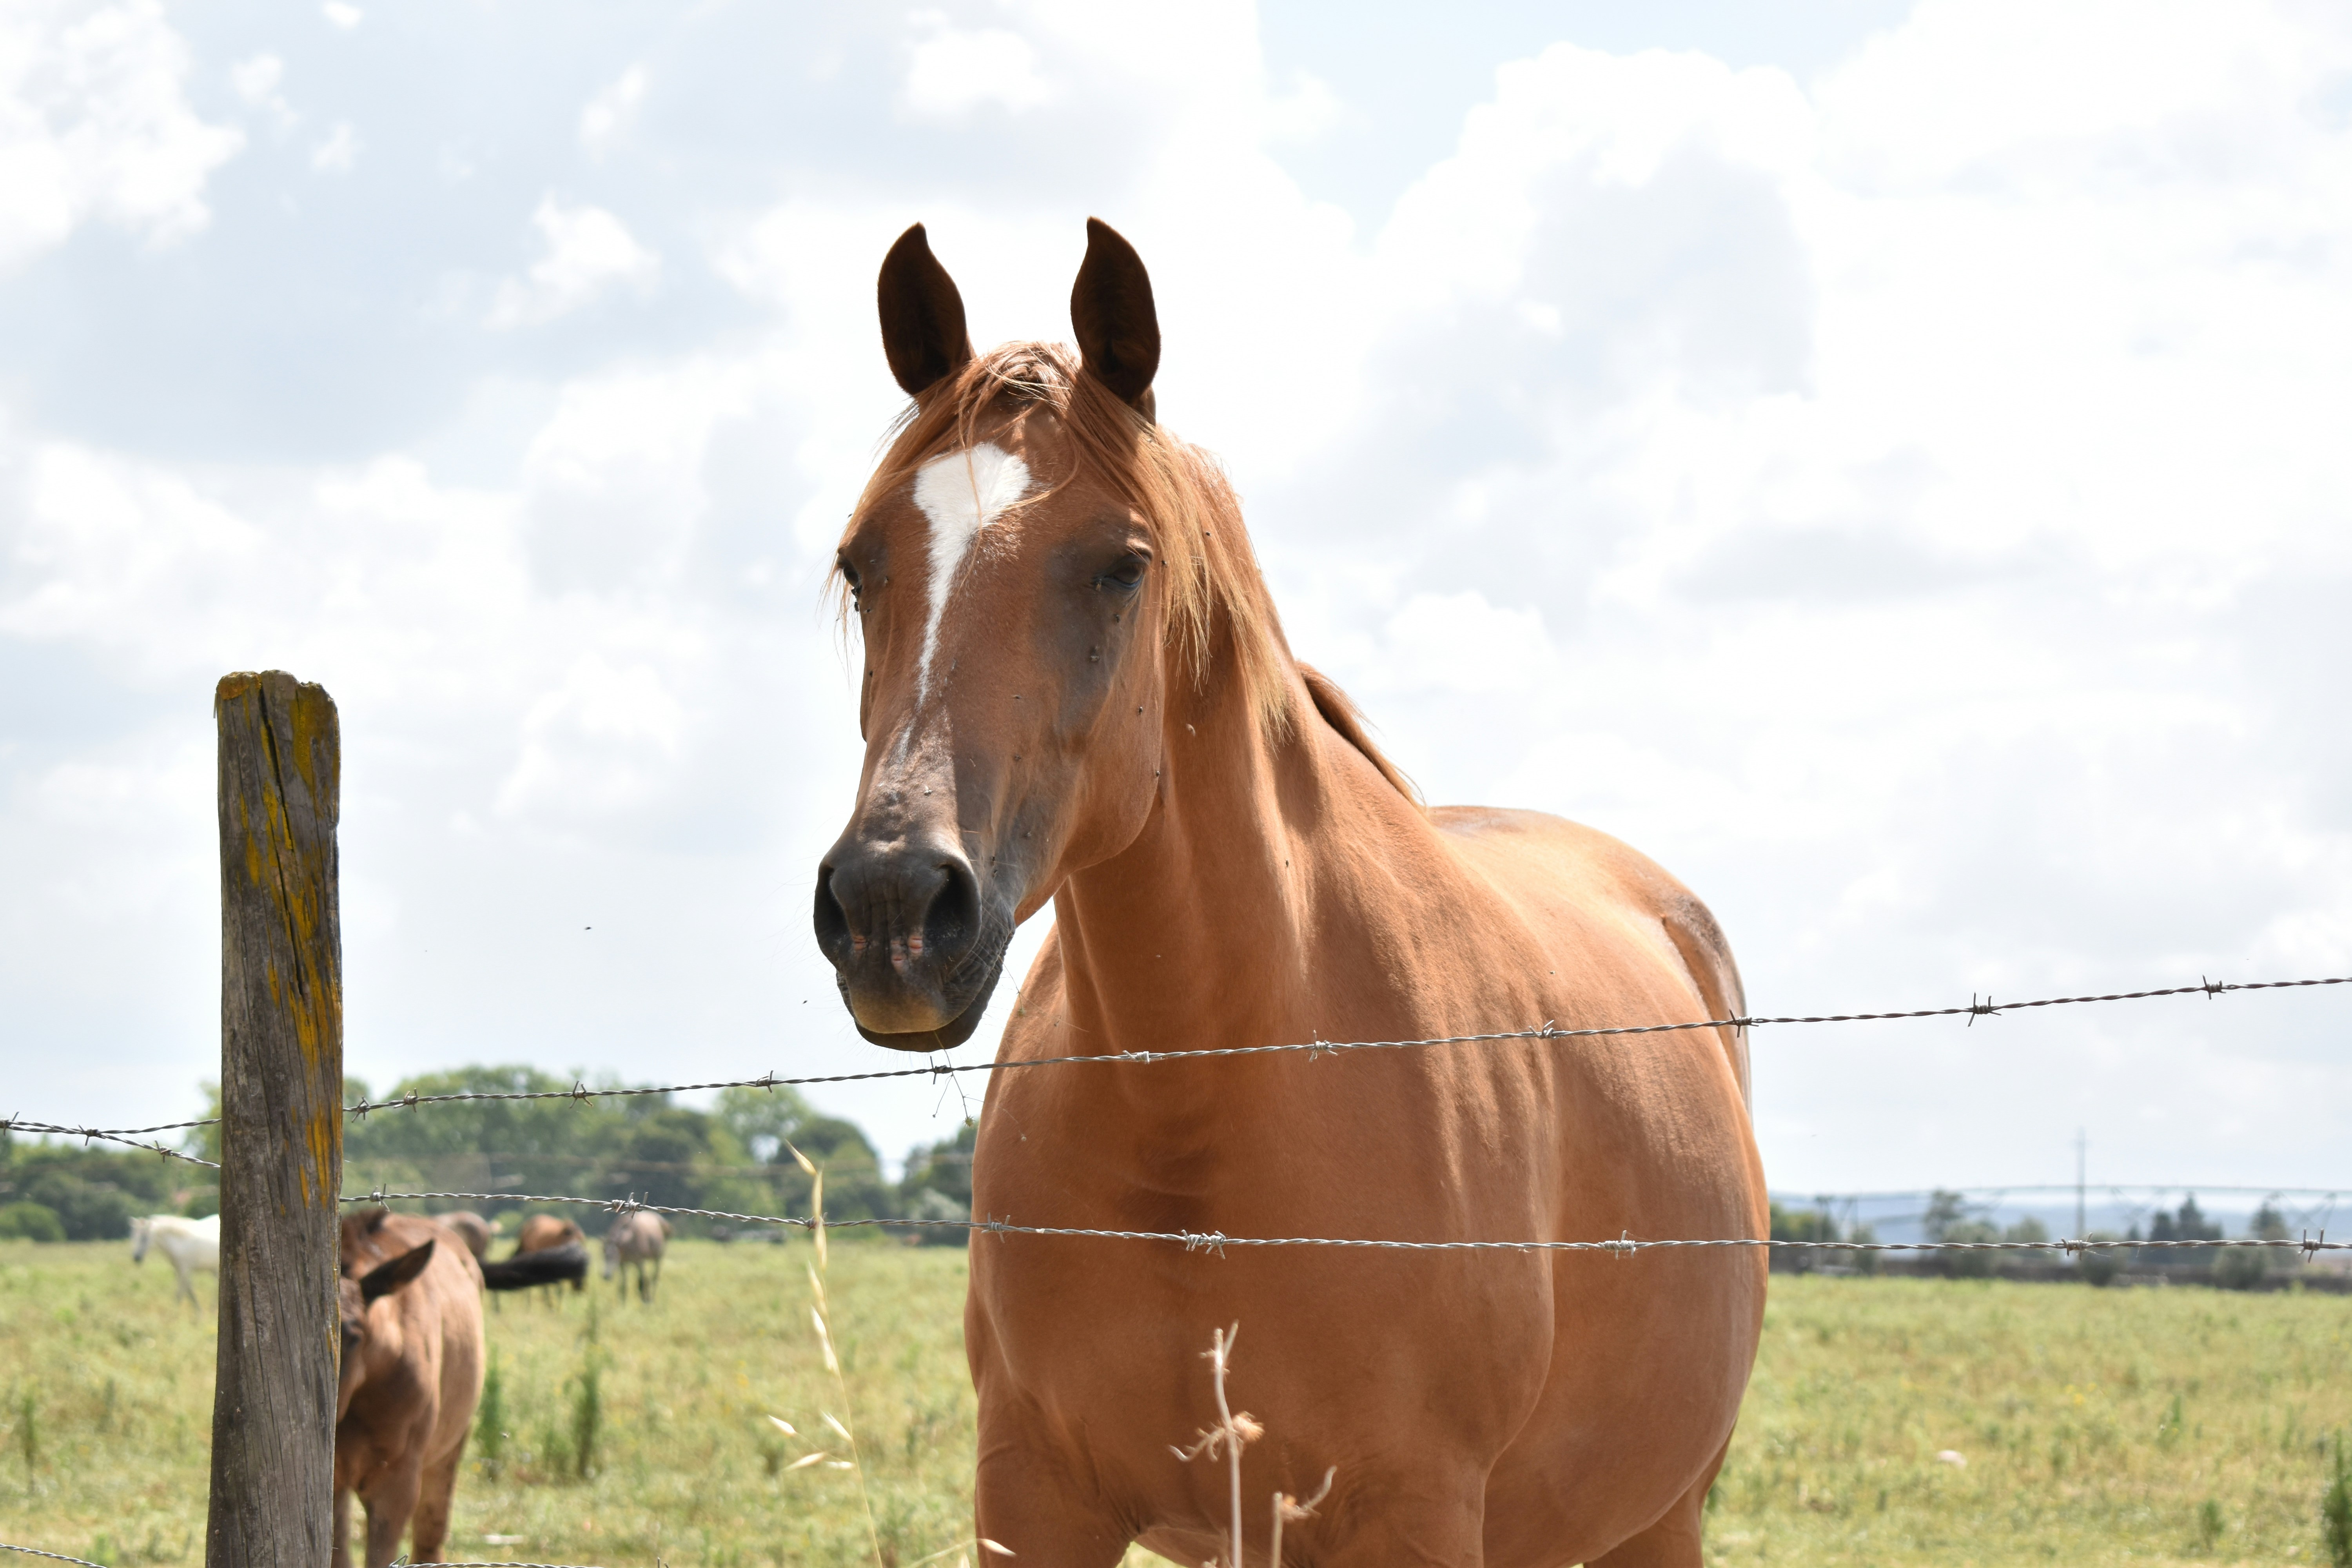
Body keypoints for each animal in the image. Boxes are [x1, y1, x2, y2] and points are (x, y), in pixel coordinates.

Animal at [129, 1214, 218, 1309]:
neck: (179, 1242)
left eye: (144, 1238)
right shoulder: (178, 1271)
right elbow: (189, 1292)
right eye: (133, 1237)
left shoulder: (184, 1271)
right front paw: (198, 1310)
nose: (136, 1258)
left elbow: (180, 1294)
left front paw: (175, 1311)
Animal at [601, 1209, 671, 1302]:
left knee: (654, 1278)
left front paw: (645, 1301)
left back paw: (650, 1298)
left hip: (657, 1258)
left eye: (615, 1256)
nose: (606, 1276)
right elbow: (624, 1284)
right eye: (604, 1255)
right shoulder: (622, 1264)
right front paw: (623, 1303)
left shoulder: (639, 1262)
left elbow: (641, 1283)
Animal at [811, 220, 1766, 1568]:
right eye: (861, 564)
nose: (893, 906)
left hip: (1657, 1517)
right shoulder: (1032, 1495)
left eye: (1120, 566)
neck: (1208, 1111)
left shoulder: (1411, 1511)